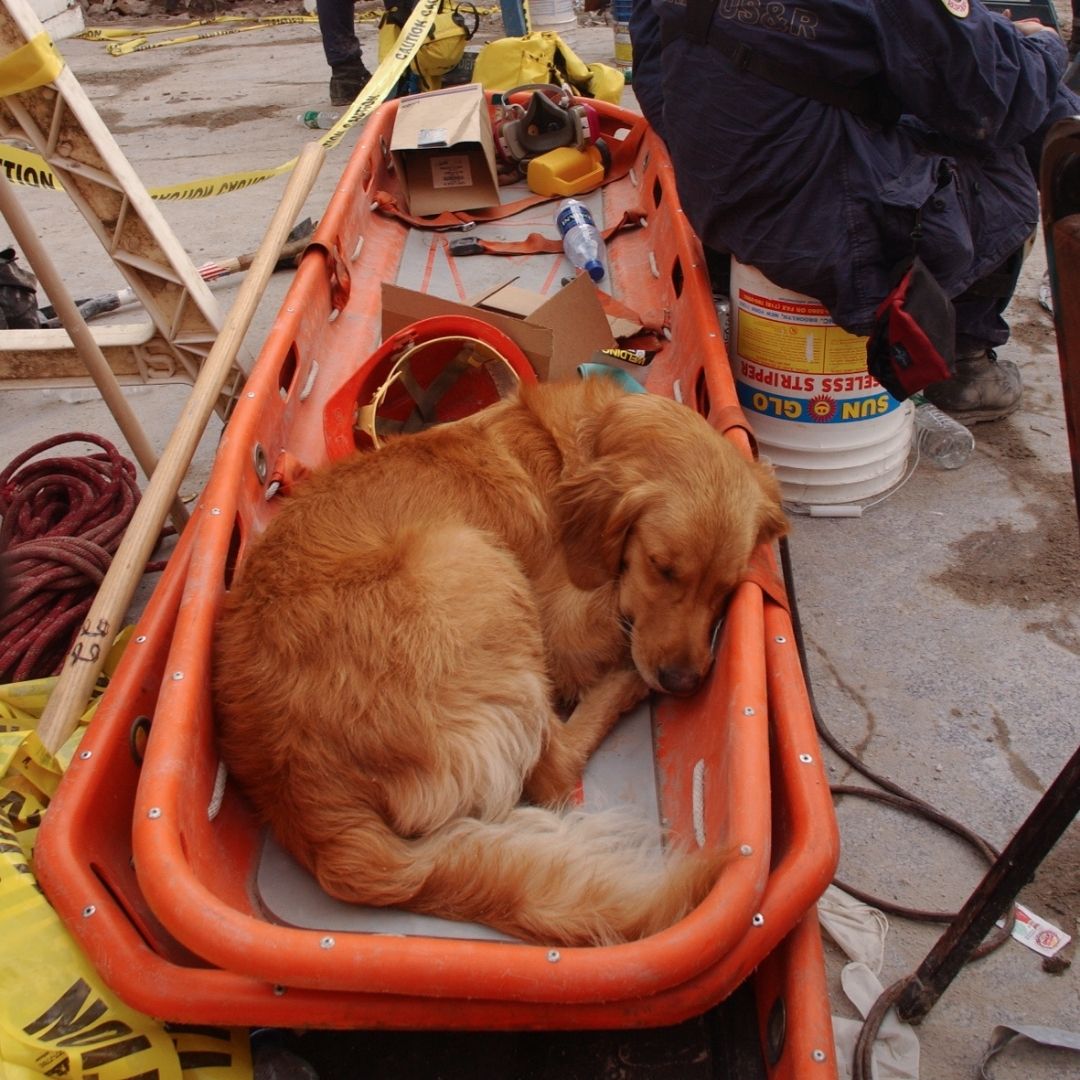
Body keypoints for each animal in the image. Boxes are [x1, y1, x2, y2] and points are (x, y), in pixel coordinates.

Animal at [212, 378, 786, 946]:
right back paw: (624, 686)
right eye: (661, 567)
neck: (579, 448)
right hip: (476, 561)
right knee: (556, 770)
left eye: (726, 587)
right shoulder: (566, 623)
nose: (683, 682)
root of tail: (315, 815)